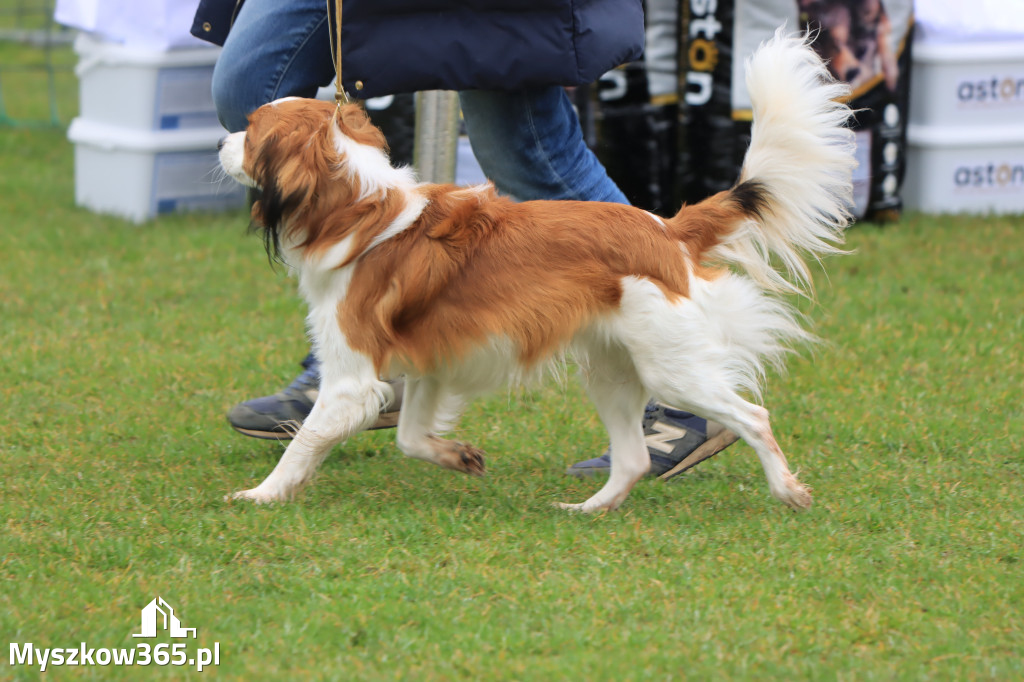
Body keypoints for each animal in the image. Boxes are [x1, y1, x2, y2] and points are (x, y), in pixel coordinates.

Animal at [218, 31, 856, 509]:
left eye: (250, 132)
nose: (222, 142)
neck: (361, 210)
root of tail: (666, 229)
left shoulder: (352, 379)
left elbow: (306, 441)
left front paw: (262, 494)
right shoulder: (432, 365)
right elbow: (409, 437)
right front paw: (457, 456)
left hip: (672, 368)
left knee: (752, 416)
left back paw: (786, 490)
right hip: (611, 370)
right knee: (632, 459)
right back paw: (589, 509)